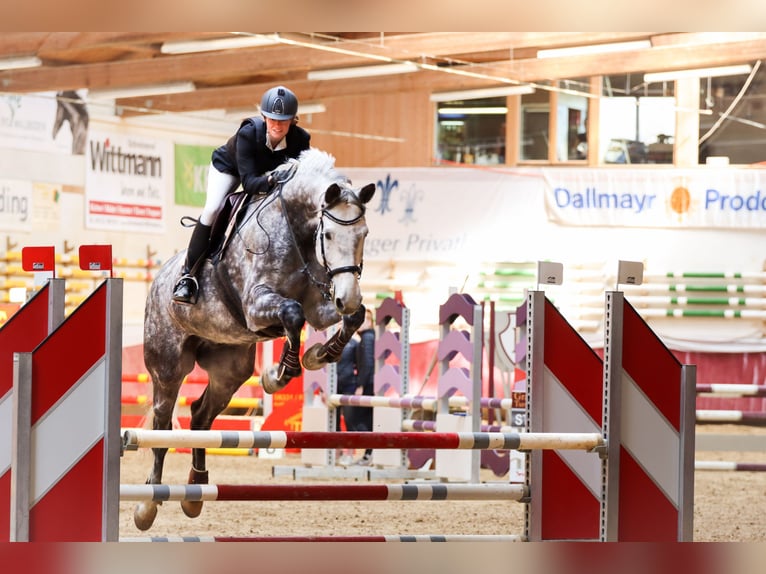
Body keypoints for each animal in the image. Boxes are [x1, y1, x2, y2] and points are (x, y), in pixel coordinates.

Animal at [140, 148, 380, 532]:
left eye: (365, 233)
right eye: (328, 235)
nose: (349, 295)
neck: (297, 233)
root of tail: (159, 279)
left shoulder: (321, 306)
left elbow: (349, 318)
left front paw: (318, 354)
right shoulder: (257, 306)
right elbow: (293, 315)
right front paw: (279, 375)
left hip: (230, 369)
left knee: (201, 417)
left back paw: (195, 491)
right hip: (167, 367)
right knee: (162, 427)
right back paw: (148, 503)